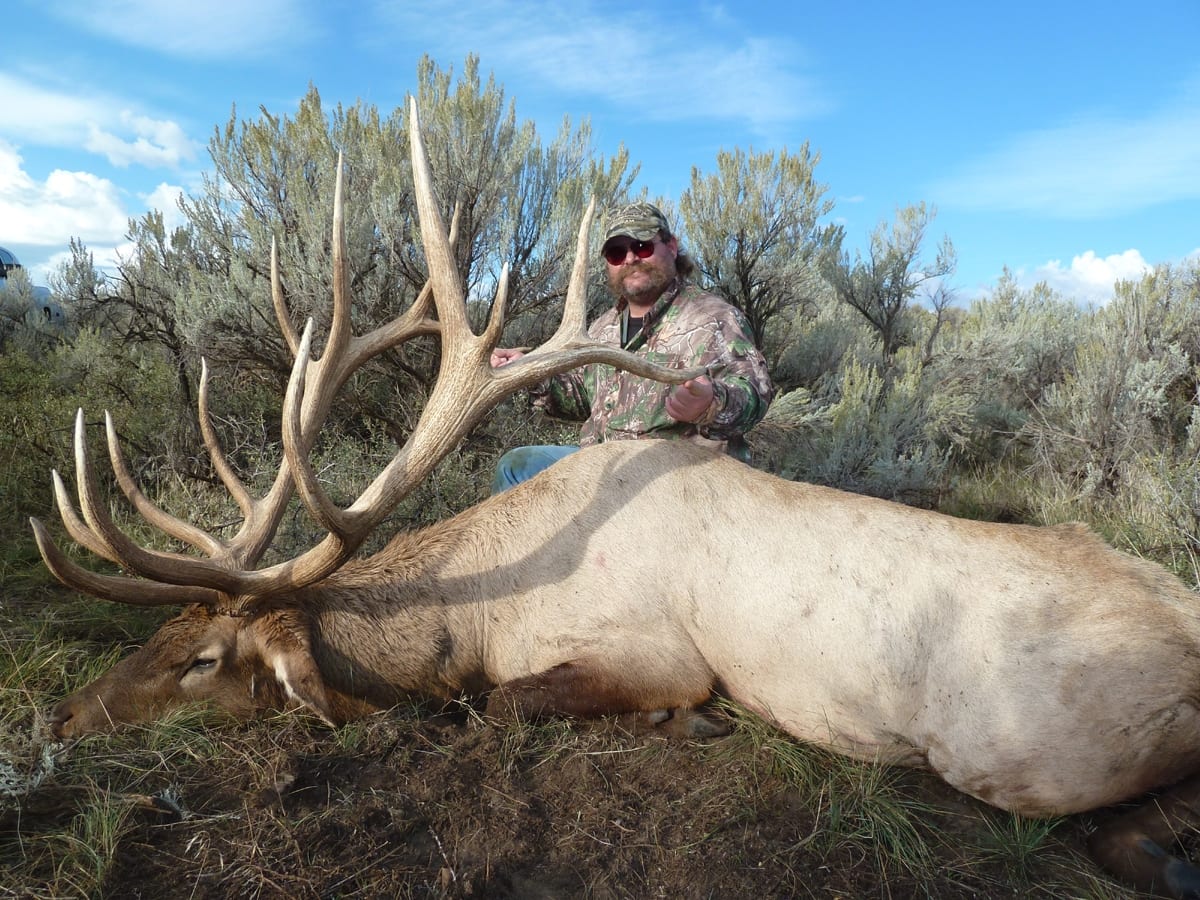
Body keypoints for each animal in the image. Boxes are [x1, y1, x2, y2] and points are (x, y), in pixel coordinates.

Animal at [28, 100, 1200, 898]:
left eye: (199, 661)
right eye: (161, 640)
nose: (60, 715)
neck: (471, 620)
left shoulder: (654, 652)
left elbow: (509, 702)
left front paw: (687, 728)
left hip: (1030, 746)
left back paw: (1157, 851)